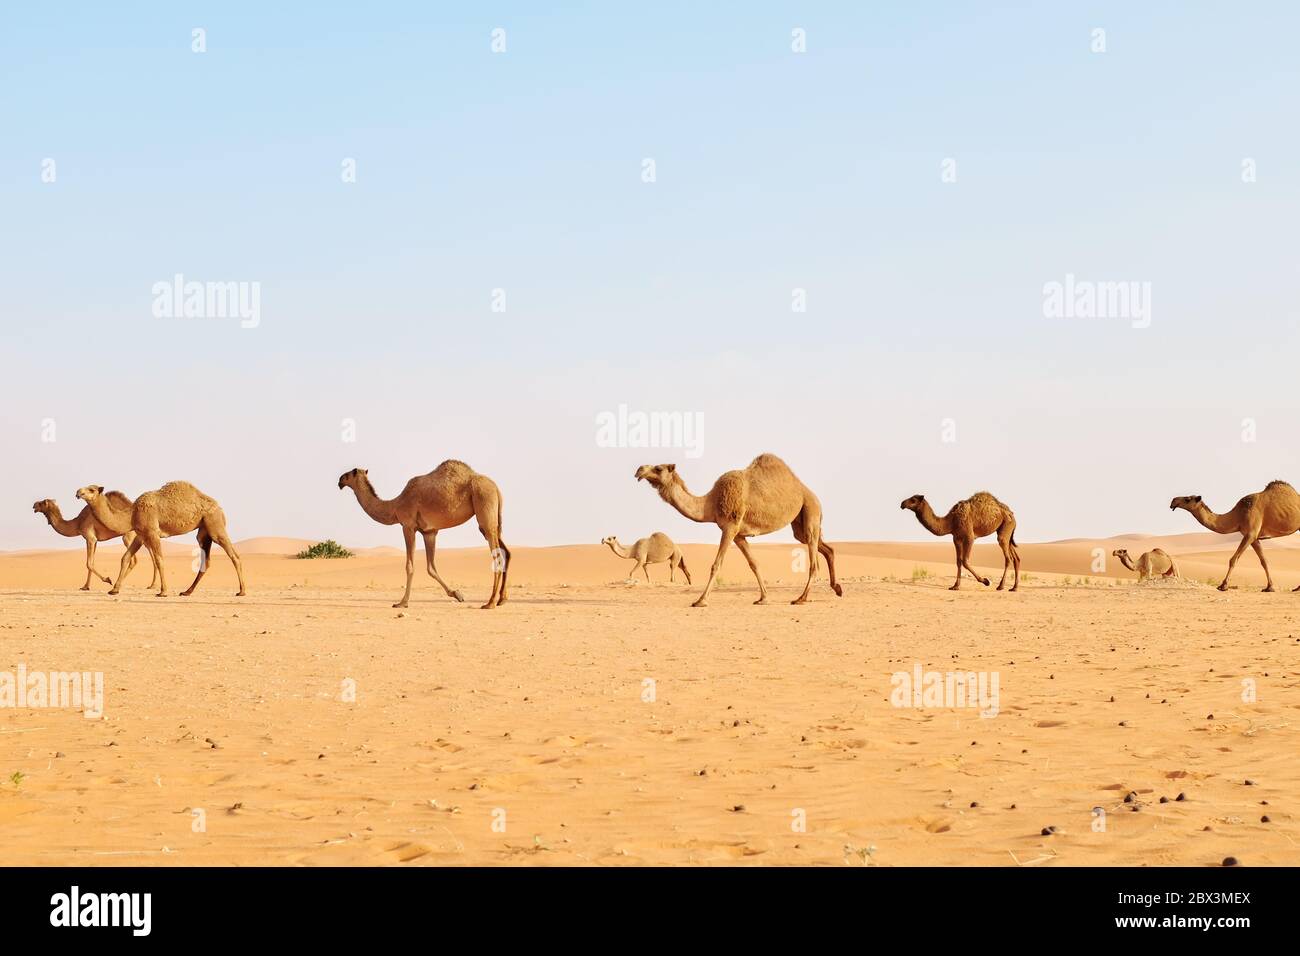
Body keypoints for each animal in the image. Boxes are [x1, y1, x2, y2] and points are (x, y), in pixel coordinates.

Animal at [88, 486, 248, 598]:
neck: (132, 513)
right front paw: (114, 589)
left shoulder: (152, 533)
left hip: (214, 523)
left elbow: (159, 560)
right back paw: (187, 591)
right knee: (206, 560)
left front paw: (162, 592)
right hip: (204, 531)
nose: (81, 492)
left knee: (234, 555)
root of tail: (220, 508)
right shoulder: (141, 535)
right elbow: (125, 557)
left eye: (91, 489)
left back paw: (242, 591)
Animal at [338, 460, 509, 608]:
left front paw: (402, 602)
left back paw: (490, 603)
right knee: (505, 551)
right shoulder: (429, 532)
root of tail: (496, 488)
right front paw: (457, 594)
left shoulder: (407, 526)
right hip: (495, 520)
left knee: (497, 555)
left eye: (348, 474)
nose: (339, 481)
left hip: (484, 507)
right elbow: (431, 567)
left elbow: (410, 565)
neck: (395, 506)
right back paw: (502, 599)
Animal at [631, 455, 842, 606]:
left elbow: (716, 564)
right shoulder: (739, 535)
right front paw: (763, 598)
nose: (639, 470)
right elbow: (754, 563)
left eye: (658, 468)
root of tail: (809, 493)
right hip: (799, 524)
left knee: (814, 559)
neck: (710, 503)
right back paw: (837, 588)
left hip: (811, 510)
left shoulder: (729, 527)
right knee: (826, 548)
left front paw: (700, 600)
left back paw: (801, 598)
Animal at [1170, 481, 1300, 595]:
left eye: (1187, 499)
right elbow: (1264, 561)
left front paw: (1223, 586)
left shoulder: (1250, 534)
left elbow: (1233, 559)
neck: (1238, 515)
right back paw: (1297, 588)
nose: (1173, 501)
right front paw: (1269, 587)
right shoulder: (1254, 537)